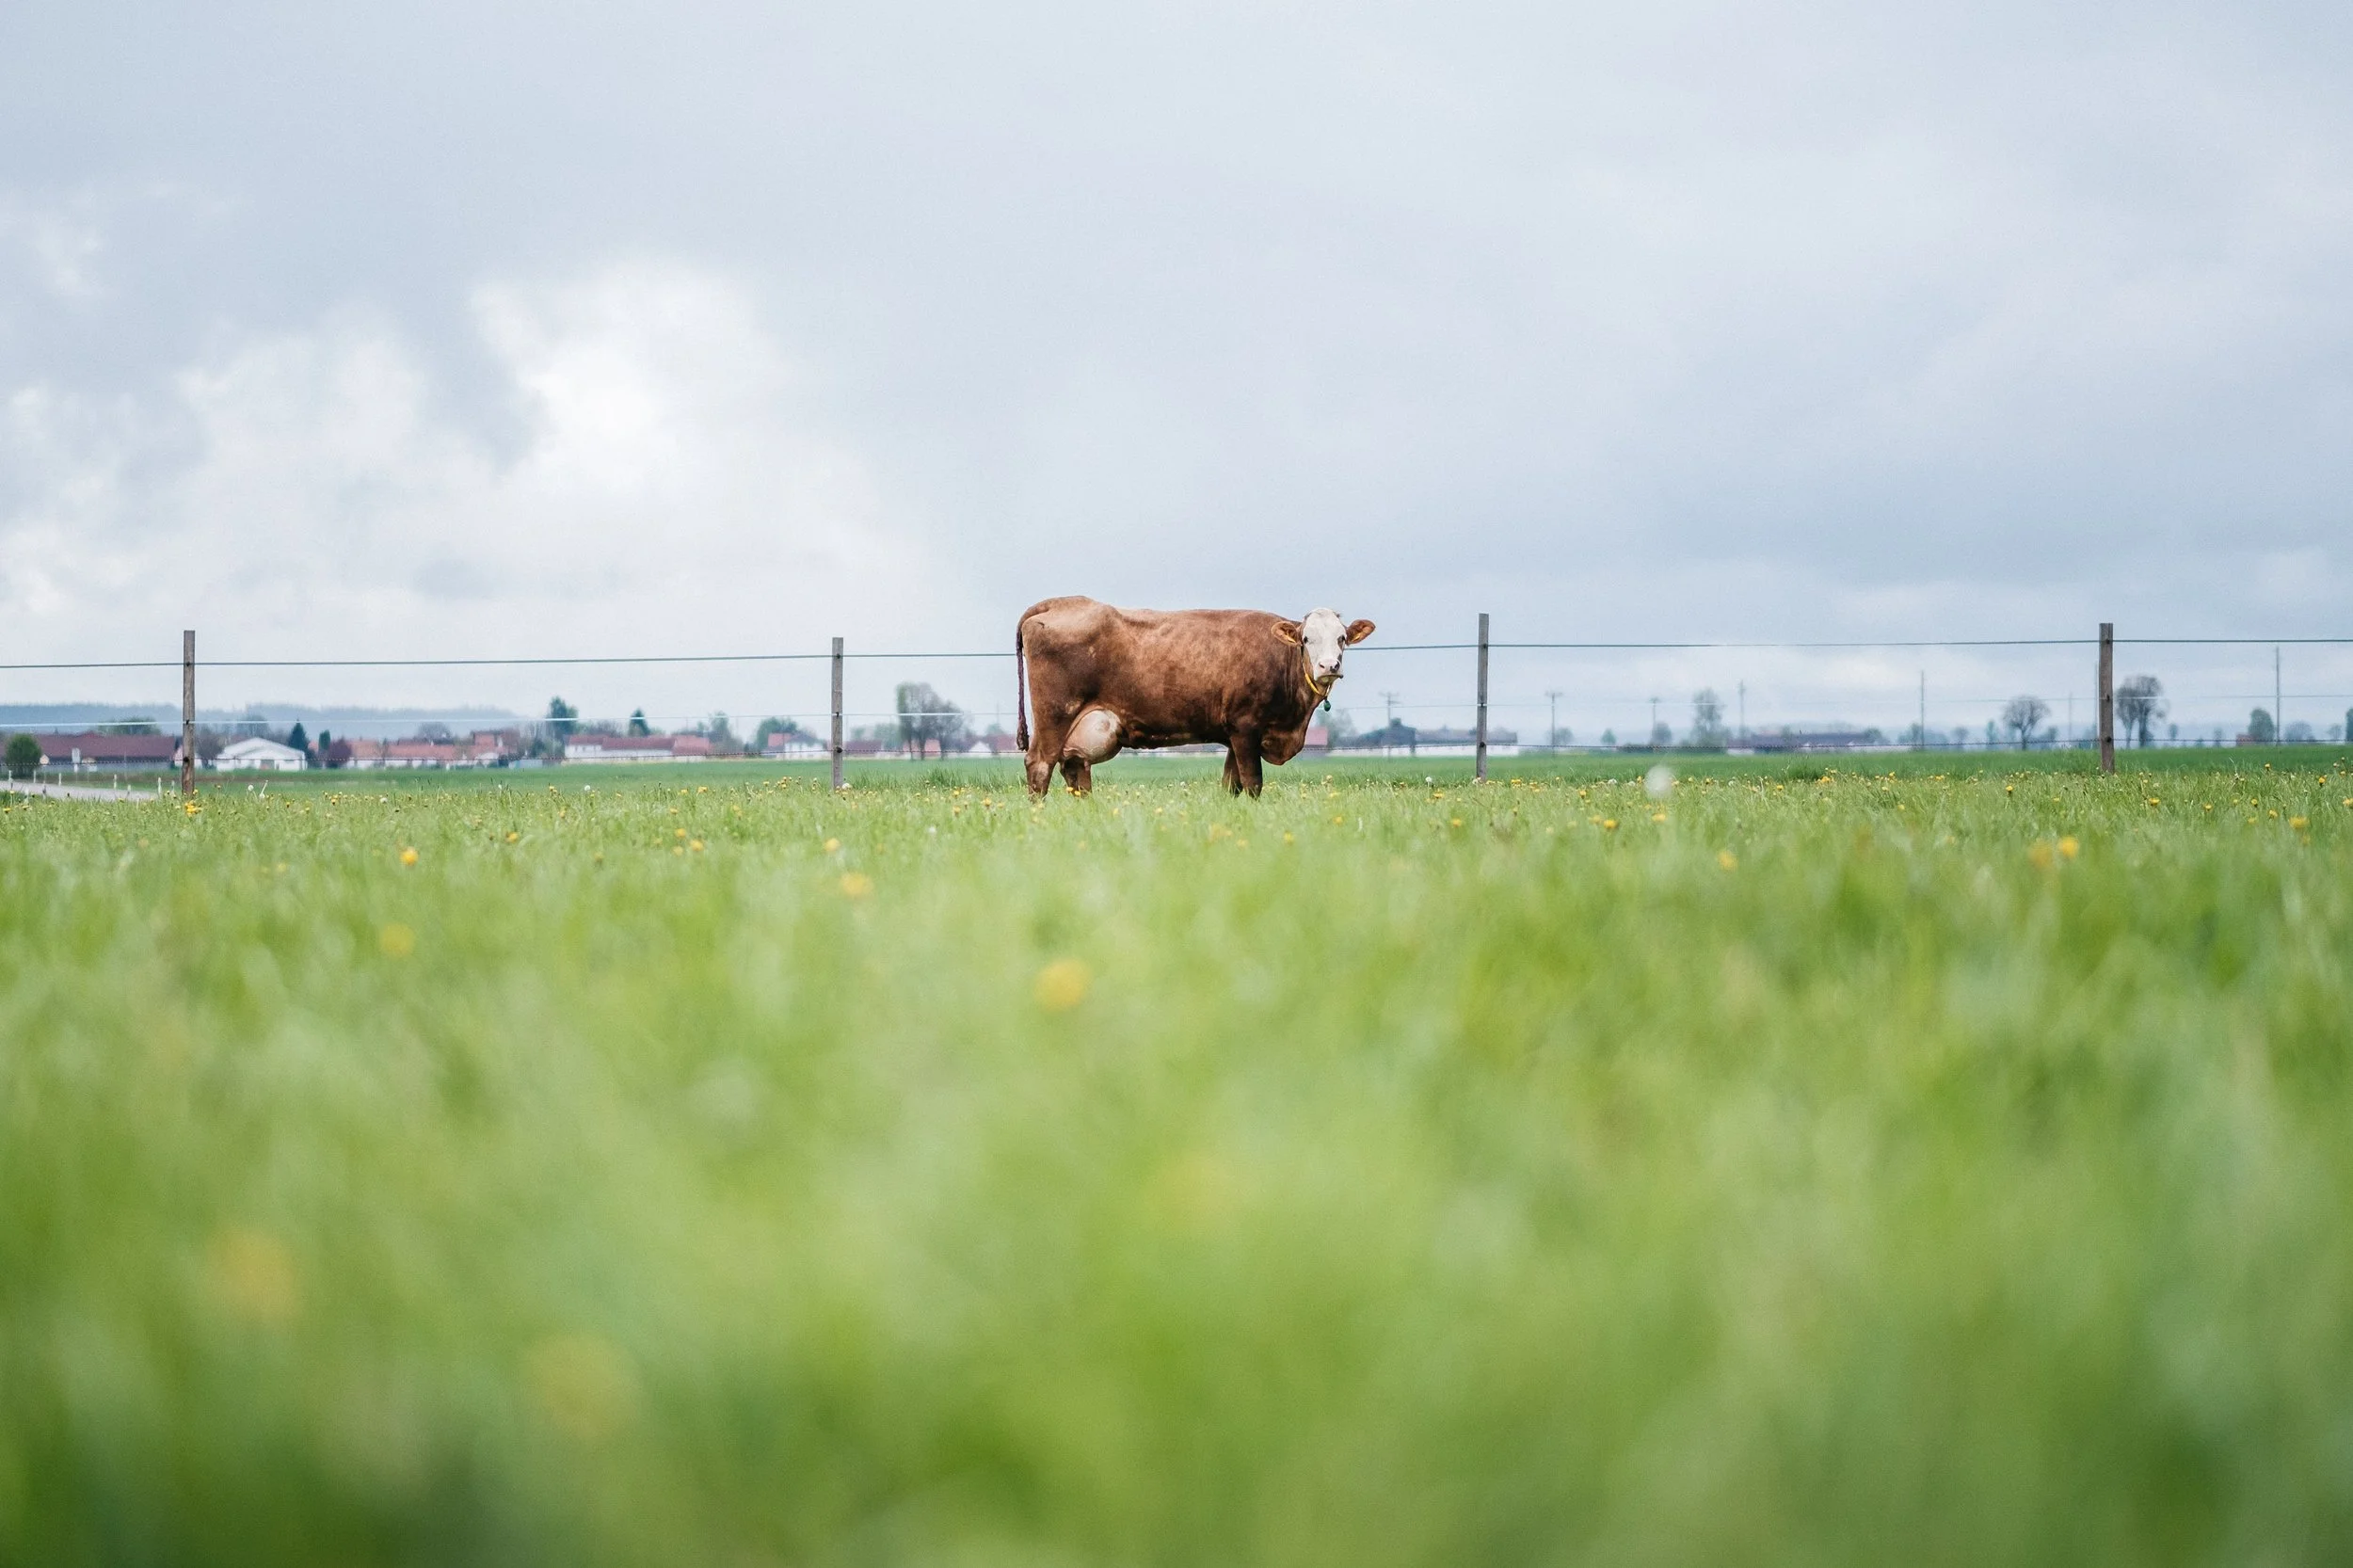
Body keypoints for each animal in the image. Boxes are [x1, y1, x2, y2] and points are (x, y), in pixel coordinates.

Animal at [1014, 597, 1375, 797]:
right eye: (1306, 639)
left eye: (1342, 638)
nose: (1329, 666)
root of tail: (1063, 601)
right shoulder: (1245, 728)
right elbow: (1252, 783)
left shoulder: (1234, 736)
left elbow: (1231, 786)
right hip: (1055, 714)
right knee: (1040, 765)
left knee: (1074, 770)